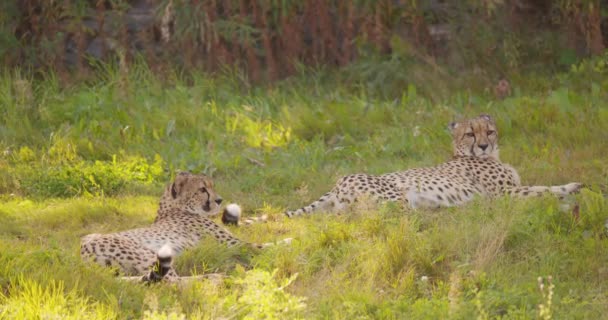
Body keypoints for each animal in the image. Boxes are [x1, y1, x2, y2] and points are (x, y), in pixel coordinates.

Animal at [81, 172, 290, 282]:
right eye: (202, 189)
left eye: (211, 186)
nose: (219, 200)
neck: (175, 208)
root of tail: (82, 252)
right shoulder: (234, 244)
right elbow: (264, 245)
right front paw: (292, 241)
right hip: (148, 255)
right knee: (173, 282)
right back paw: (216, 277)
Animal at [284, 114, 584, 216]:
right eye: (470, 134)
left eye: (489, 131)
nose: (484, 146)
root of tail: (338, 182)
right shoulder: (503, 194)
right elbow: (543, 189)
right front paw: (572, 187)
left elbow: (541, 187)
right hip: (397, 198)